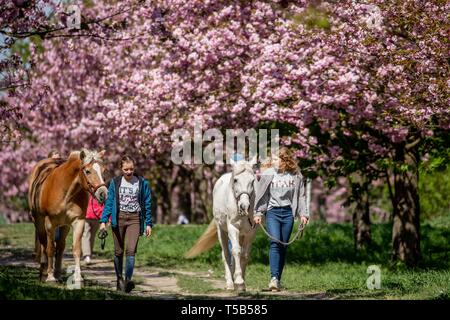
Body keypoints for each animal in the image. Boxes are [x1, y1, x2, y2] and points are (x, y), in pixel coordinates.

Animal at [28, 149, 108, 282]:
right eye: (87, 171)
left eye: (103, 170)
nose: (103, 194)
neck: (66, 191)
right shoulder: (49, 223)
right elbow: (50, 248)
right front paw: (50, 277)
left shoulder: (78, 221)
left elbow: (76, 250)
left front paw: (78, 277)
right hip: (39, 220)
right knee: (44, 244)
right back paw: (44, 272)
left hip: (64, 225)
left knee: (60, 247)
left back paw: (58, 274)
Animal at [185, 156, 256, 292]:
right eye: (235, 180)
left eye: (253, 180)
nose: (244, 206)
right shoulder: (233, 228)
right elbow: (236, 252)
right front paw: (238, 282)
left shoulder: (250, 232)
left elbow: (244, 255)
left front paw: (242, 283)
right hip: (221, 230)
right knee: (226, 254)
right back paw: (230, 283)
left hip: (241, 235)